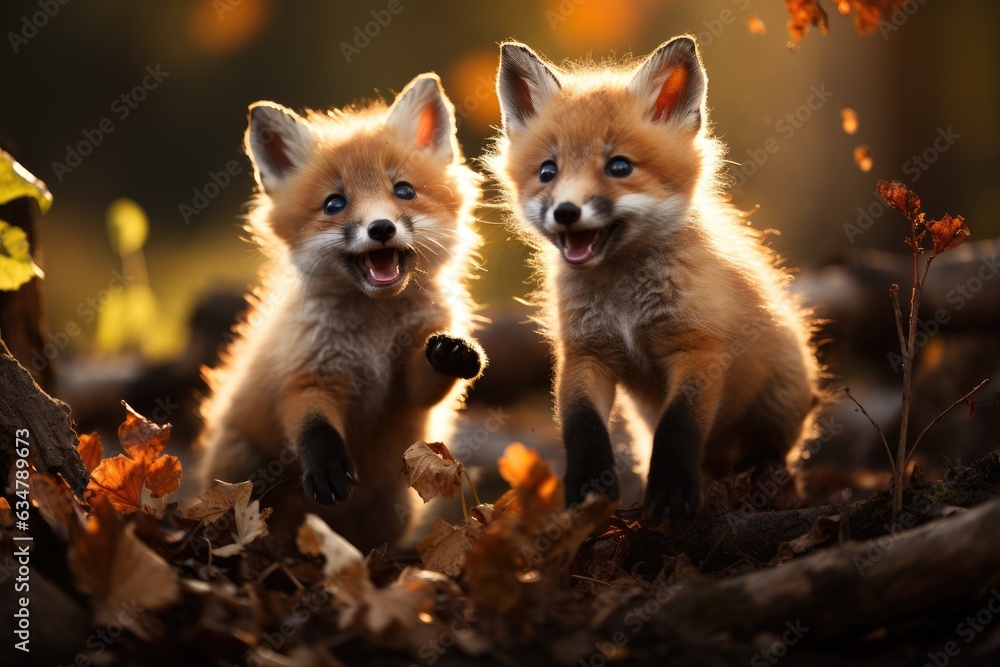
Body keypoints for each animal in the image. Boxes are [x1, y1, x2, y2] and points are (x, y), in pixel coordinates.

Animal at [198, 73, 485, 552]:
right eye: (334, 204)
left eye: (404, 190)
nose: (381, 228)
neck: (374, 334)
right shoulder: (309, 375)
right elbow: (314, 428)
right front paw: (328, 467)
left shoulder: (408, 384)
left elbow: (429, 382)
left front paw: (454, 352)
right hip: (243, 466)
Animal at [487, 36, 821, 518]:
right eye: (548, 171)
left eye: (619, 167)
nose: (565, 211)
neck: (624, 302)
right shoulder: (586, 352)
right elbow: (582, 426)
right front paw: (589, 489)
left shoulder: (698, 347)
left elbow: (679, 425)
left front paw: (671, 488)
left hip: (779, 404)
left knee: (773, 453)